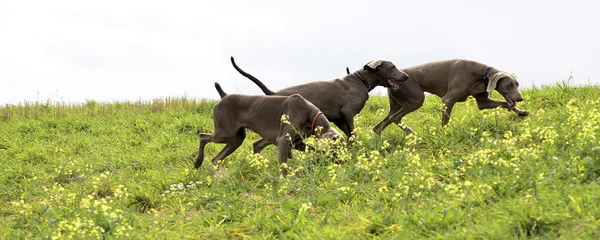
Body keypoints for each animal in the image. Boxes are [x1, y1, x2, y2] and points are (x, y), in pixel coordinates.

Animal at [196, 81, 342, 173]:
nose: (342, 161)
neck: (309, 114)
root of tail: (224, 95)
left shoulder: (297, 142)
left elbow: (313, 149)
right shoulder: (283, 140)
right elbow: (283, 164)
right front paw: (286, 181)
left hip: (237, 138)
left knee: (216, 159)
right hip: (225, 133)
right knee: (202, 136)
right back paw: (197, 162)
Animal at [230, 57, 408, 153]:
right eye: (392, 67)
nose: (406, 76)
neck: (361, 81)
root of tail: (272, 94)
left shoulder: (339, 118)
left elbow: (348, 135)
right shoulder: (347, 113)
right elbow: (353, 133)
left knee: (258, 143)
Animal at [346, 58, 528, 133]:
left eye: (517, 84)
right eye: (509, 85)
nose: (520, 98)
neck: (482, 74)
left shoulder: (484, 101)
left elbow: (505, 104)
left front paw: (521, 112)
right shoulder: (448, 99)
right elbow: (445, 120)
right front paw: (444, 133)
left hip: (397, 102)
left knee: (381, 124)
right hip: (416, 97)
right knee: (395, 118)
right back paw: (411, 133)